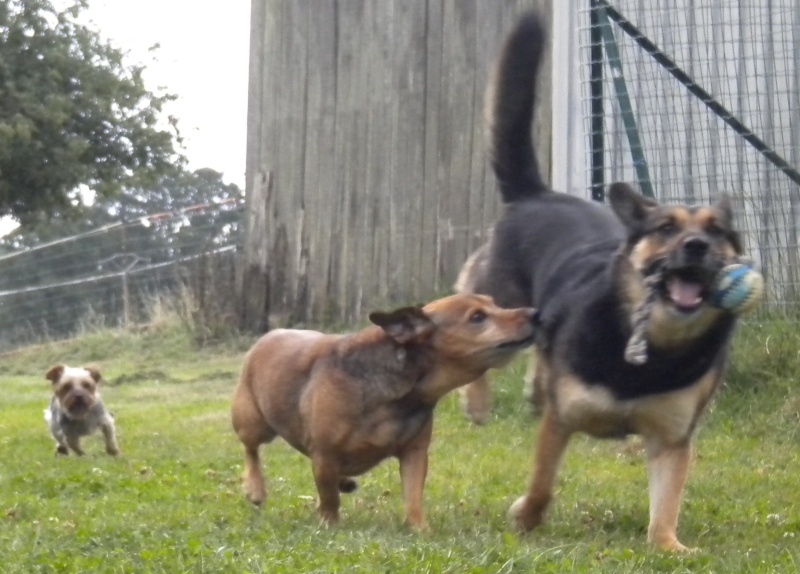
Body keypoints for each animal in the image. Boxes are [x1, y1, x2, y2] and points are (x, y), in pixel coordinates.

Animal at [231, 294, 536, 532]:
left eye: (494, 303)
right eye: (477, 317)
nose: (535, 313)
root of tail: (269, 335)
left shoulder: (414, 453)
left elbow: (413, 496)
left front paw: (419, 529)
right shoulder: (325, 455)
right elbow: (329, 499)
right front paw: (329, 523)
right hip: (253, 422)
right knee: (250, 449)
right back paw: (255, 488)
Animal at [456, 12, 752, 552]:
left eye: (717, 232)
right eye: (666, 228)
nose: (697, 247)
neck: (654, 344)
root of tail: (540, 194)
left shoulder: (672, 439)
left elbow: (665, 506)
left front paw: (671, 548)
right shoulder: (562, 420)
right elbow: (543, 484)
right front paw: (526, 518)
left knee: (537, 356)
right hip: (500, 297)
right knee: (472, 317)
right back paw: (478, 401)